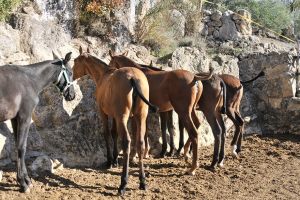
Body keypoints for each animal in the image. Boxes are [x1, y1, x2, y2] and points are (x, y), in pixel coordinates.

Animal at [0, 52, 75, 193]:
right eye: (71, 72)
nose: (72, 95)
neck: (30, 79)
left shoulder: (15, 119)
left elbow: (18, 145)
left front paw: (26, 180)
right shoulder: (25, 116)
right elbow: (22, 147)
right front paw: (23, 183)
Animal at [72, 46, 157, 194]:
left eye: (76, 61)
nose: (71, 74)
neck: (103, 75)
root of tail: (133, 78)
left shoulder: (104, 113)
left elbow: (107, 133)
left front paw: (110, 160)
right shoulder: (115, 115)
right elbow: (114, 133)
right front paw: (116, 159)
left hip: (122, 117)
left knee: (127, 141)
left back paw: (123, 183)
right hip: (140, 116)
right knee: (140, 143)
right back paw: (142, 181)